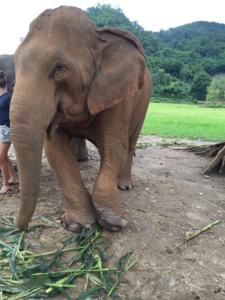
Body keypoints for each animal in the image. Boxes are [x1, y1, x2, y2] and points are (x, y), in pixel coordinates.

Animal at [9, 5, 152, 233]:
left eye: (59, 68)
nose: (20, 227)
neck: (99, 37)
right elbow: (56, 151)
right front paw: (78, 225)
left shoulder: (117, 98)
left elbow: (114, 147)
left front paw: (114, 222)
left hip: (143, 102)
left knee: (130, 144)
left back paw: (124, 185)